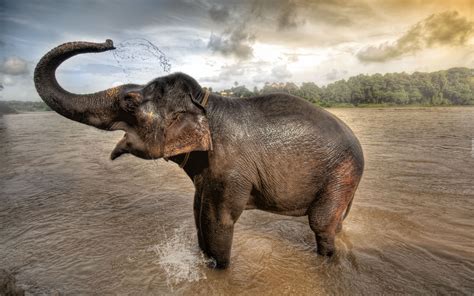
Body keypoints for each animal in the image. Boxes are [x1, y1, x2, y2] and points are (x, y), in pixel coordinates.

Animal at [35, 38, 364, 268]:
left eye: (129, 101)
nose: (109, 42)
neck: (206, 102)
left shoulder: (230, 168)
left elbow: (217, 221)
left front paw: (218, 271)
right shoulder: (207, 172)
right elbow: (197, 214)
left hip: (341, 172)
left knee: (321, 223)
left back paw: (326, 261)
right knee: (336, 221)